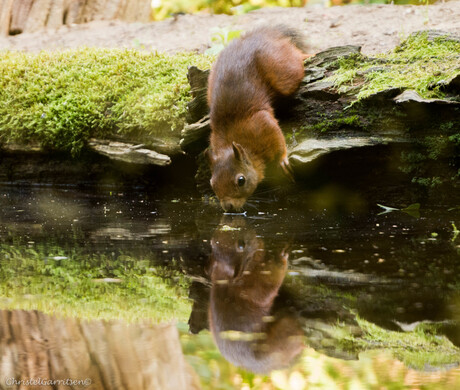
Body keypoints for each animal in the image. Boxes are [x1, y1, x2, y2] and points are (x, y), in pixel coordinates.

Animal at [208, 25, 308, 212]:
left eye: (241, 181)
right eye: (212, 183)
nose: (228, 207)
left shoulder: (262, 124)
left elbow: (278, 138)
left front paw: (283, 159)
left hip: (282, 71)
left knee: (296, 60)